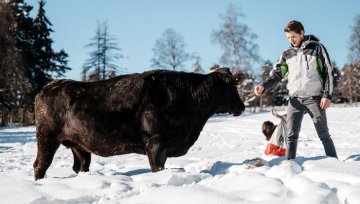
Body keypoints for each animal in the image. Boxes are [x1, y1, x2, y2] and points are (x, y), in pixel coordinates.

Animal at [33, 67, 245, 179]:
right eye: (232, 87)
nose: (242, 106)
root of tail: (48, 87)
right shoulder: (155, 144)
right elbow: (157, 168)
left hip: (79, 145)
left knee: (80, 166)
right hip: (47, 138)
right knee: (40, 165)